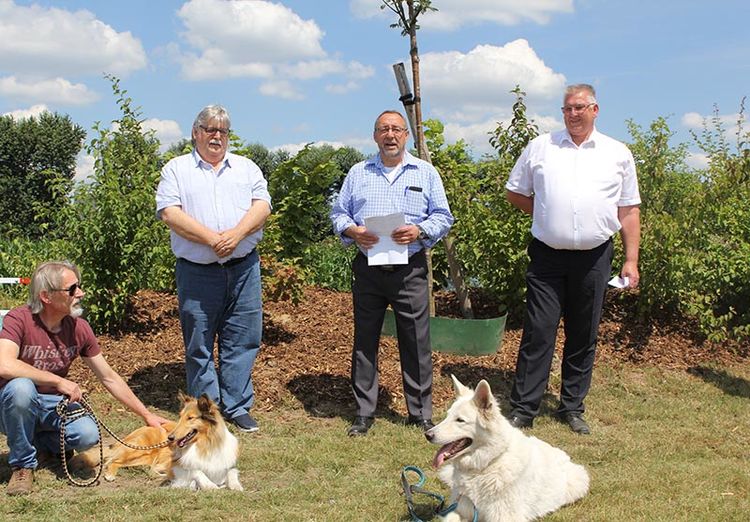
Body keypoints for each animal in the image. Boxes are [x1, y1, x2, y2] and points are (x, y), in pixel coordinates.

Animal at [103, 392, 242, 490]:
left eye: (190, 418)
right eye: (180, 417)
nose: (170, 438)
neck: (205, 445)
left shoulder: (226, 465)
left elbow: (232, 472)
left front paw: (236, 486)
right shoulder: (176, 466)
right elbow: (197, 471)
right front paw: (210, 485)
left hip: (143, 458)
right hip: (139, 450)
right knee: (113, 461)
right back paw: (110, 474)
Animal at [426, 374, 592, 520]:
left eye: (460, 420)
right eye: (447, 416)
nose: (427, 435)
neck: (486, 465)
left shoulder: (504, 517)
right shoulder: (459, 510)